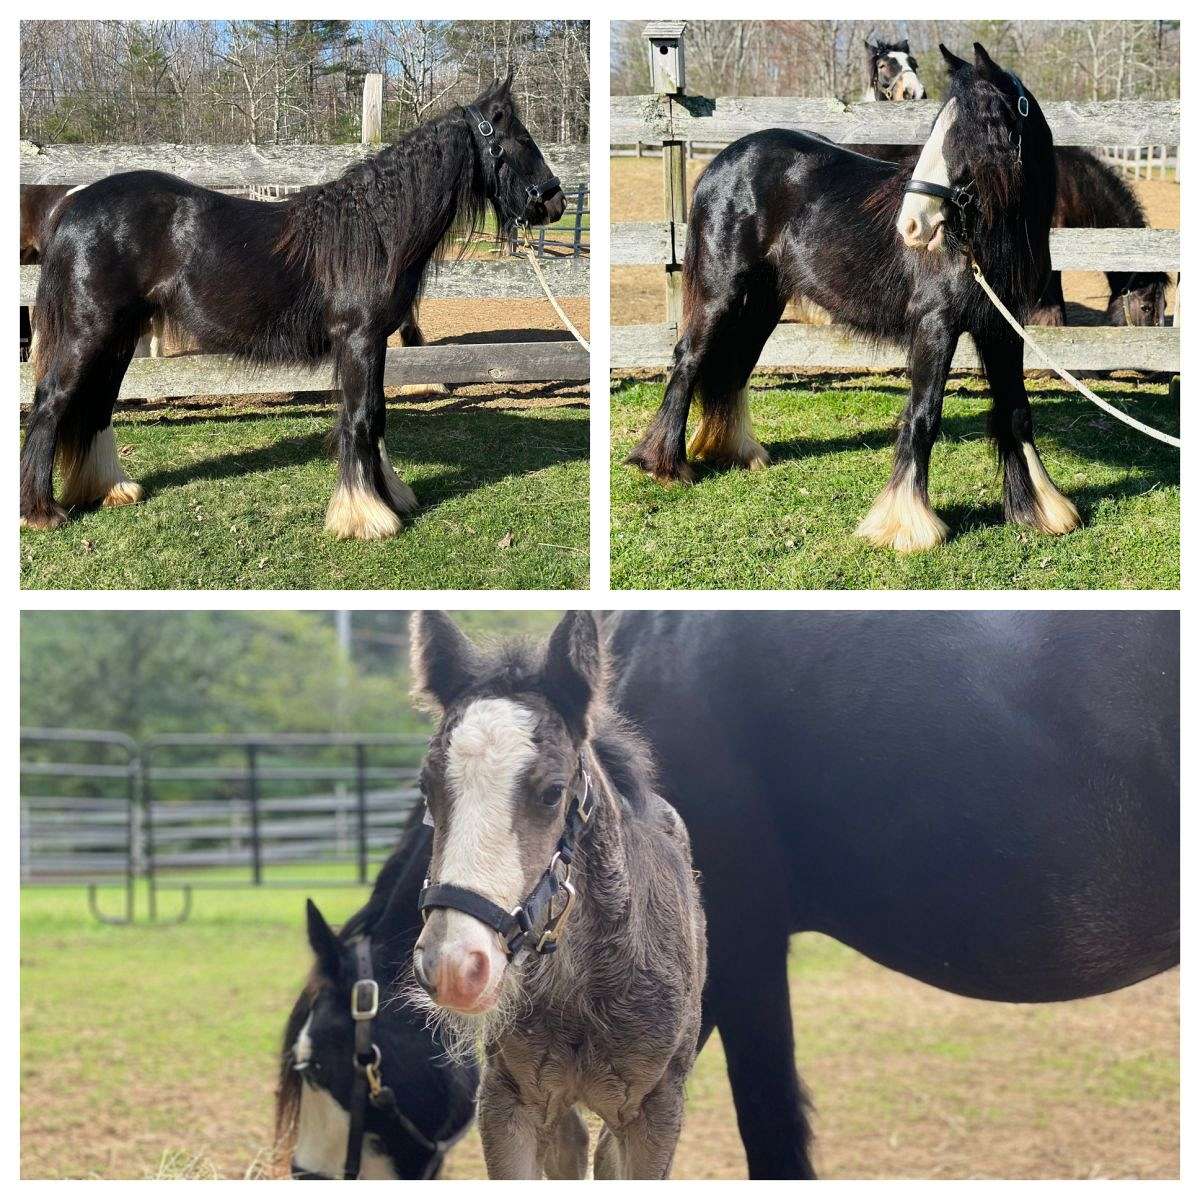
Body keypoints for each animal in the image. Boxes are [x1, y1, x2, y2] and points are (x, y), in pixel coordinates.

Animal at [17, 65, 561, 535]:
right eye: (520, 140)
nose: (555, 200)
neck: (375, 228)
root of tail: (73, 203)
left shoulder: (375, 342)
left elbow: (376, 416)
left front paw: (389, 496)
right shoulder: (358, 341)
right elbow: (361, 418)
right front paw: (367, 516)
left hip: (120, 337)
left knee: (97, 406)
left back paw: (110, 489)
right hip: (90, 333)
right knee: (52, 401)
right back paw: (41, 512)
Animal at [408, 614, 705, 1176]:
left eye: (551, 793)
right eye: (427, 789)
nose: (455, 966)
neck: (583, 983)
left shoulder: (657, 1108)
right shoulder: (507, 1099)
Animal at [628, 44, 1080, 552]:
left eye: (976, 128)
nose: (912, 225)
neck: (977, 242)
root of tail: (724, 161)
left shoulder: (1003, 328)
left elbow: (1017, 412)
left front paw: (1042, 511)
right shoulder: (935, 325)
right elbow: (923, 416)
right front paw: (904, 524)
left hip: (762, 302)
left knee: (735, 366)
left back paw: (738, 453)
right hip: (720, 294)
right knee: (688, 358)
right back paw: (664, 465)